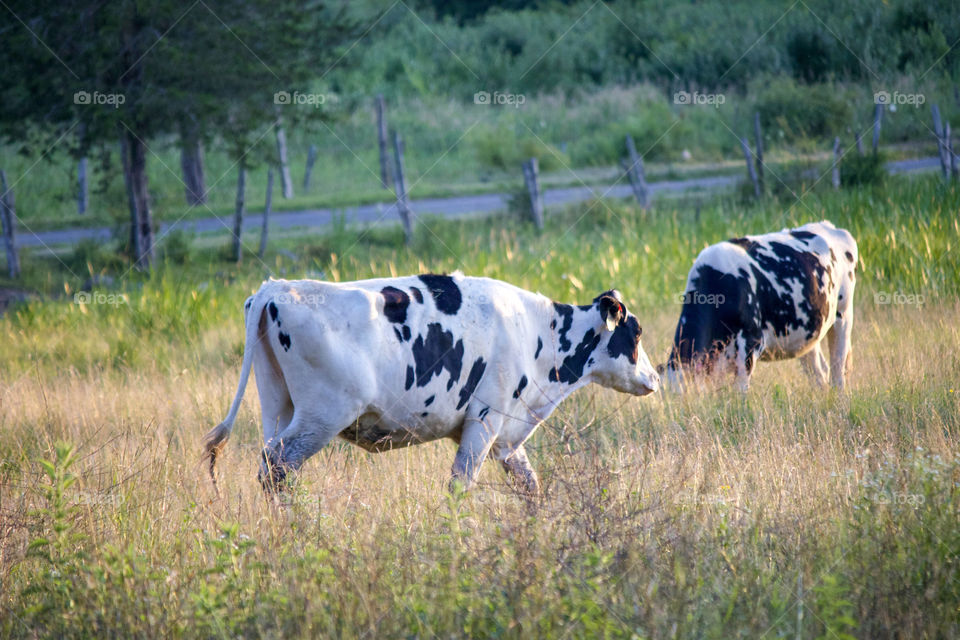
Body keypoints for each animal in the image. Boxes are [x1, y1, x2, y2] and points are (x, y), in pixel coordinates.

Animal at [202, 272, 660, 492]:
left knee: (269, 464)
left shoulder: (508, 436)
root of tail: (277, 288)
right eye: (636, 333)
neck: (538, 330)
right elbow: (460, 486)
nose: (655, 378)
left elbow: (531, 485)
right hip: (320, 416)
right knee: (276, 466)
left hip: (277, 405)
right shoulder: (485, 420)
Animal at [664, 221, 860, 390]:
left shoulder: (751, 345)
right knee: (819, 373)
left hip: (843, 316)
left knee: (838, 372)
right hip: (808, 332)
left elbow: (740, 392)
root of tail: (830, 227)